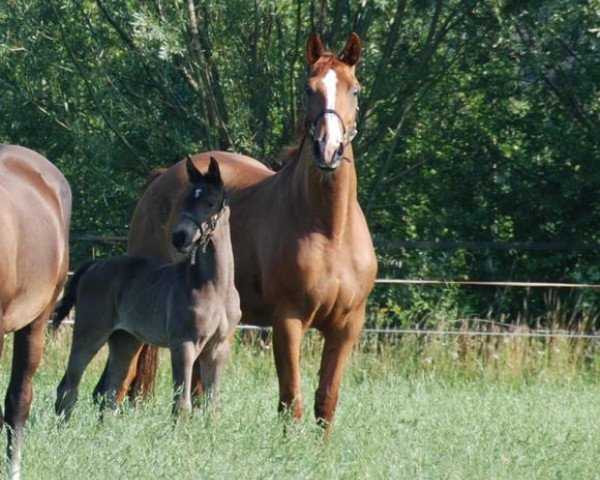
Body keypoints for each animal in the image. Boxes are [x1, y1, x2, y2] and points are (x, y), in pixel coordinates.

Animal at [120, 32, 378, 432]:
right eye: (308, 89)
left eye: (355, 90)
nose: (328, 150)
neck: (330, 229)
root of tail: (161, 178)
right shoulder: (287, 321)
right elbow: (292, 401)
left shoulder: (347, 327)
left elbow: (326, 403)